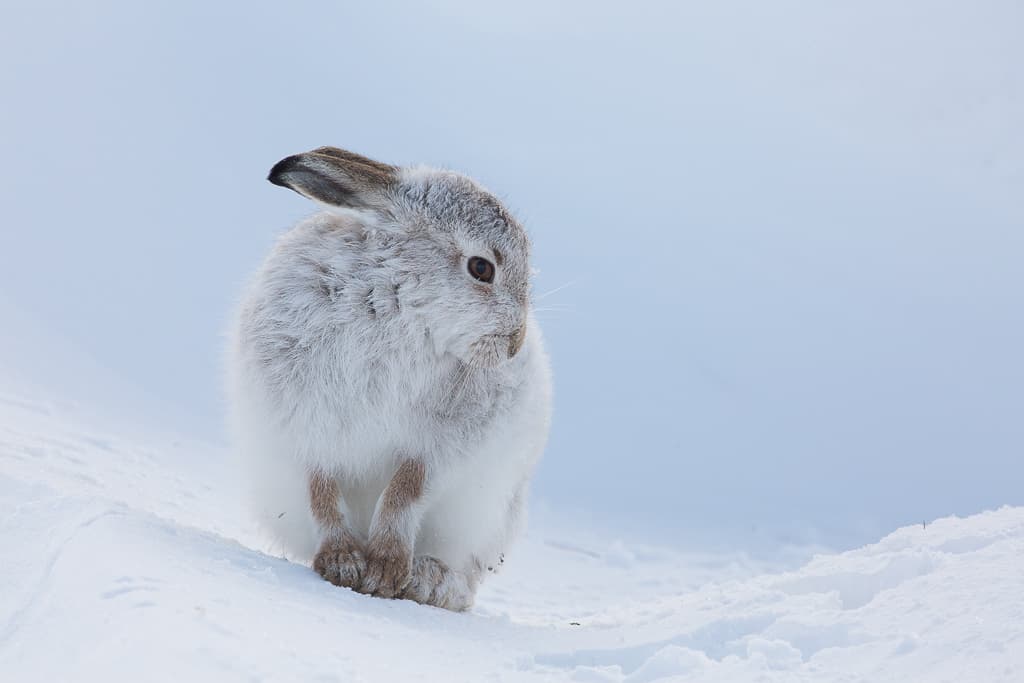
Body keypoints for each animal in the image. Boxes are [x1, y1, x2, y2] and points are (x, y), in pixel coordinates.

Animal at [226, 147, 552, 611]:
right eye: (481, 268)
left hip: (491, 513)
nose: (514, 344)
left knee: (468, 577)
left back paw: (430, 581)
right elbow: (322, 493)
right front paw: (344, 564)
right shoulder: (303, 428)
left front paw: (384, 570)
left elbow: (404, 493)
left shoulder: (439, 447)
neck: (397, 306)